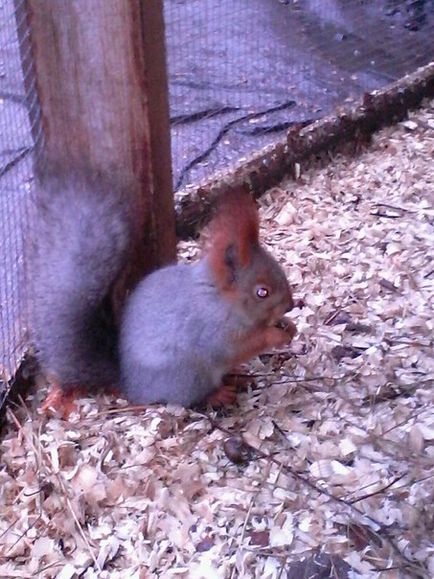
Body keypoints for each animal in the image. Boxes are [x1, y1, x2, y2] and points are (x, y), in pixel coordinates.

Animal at [29, 165, 294, 410]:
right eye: (262, 292)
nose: (290, 305)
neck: (218, 299)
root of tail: (130, 384)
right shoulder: (212, 332)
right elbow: (239, 346)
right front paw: (275, 335)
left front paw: (288, 326)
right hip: (187, 375)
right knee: (189, 397)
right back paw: (218, 394)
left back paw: (237, 378)